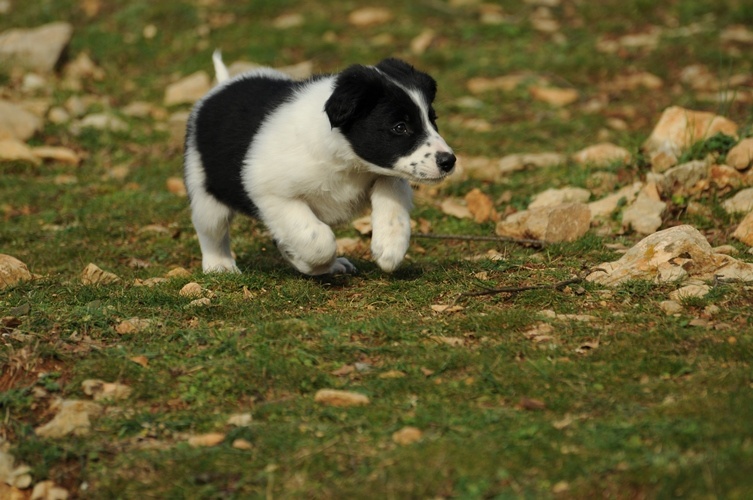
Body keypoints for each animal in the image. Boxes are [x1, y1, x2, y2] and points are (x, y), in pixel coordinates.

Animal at [184, 52, 452, 276]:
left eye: (433, 119)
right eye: (400, 127)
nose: (449, 161)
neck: (347, 163)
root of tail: (223, 85)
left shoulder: (387, 170)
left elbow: (392, 198)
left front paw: (390, 246)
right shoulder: (271, 193)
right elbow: (318, 240)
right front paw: (313, 263)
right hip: (206, 194)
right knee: (211, 231)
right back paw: (219, 265)